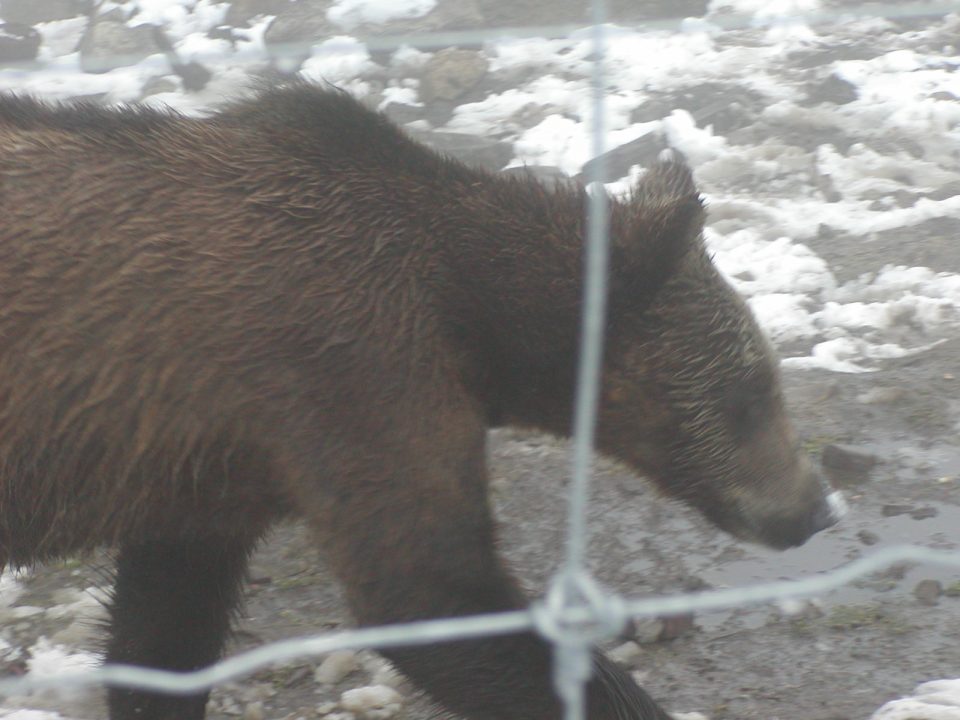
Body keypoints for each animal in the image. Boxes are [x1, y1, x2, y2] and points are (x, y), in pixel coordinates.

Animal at [0, 84, 840, 720]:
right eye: (752, 391)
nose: (812, 509)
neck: (474, 315)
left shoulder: (209, 470)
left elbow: (163, 632)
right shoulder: (352, 373)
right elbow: (431, 594)